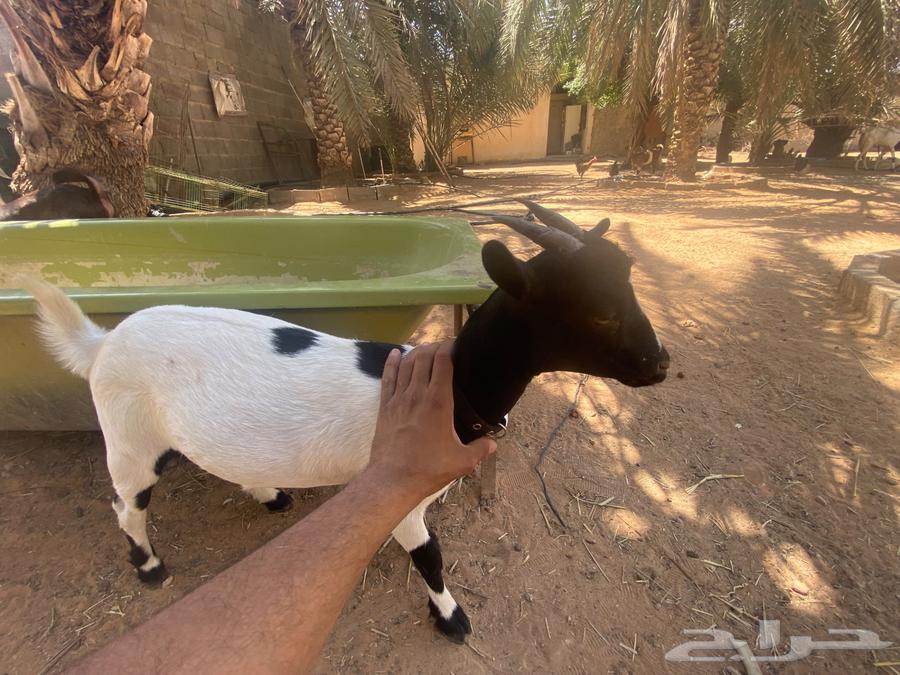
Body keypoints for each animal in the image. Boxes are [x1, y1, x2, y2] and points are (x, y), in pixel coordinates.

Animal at [22, 202, 669, 644]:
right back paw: (150, 566)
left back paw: (269, 492)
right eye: (600, 312)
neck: (449, 386)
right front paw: (451, 618)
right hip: (129, 437)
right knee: (127, 502)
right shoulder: (402, 491)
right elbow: (430, 556)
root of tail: (101, 343)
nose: (660, 363)